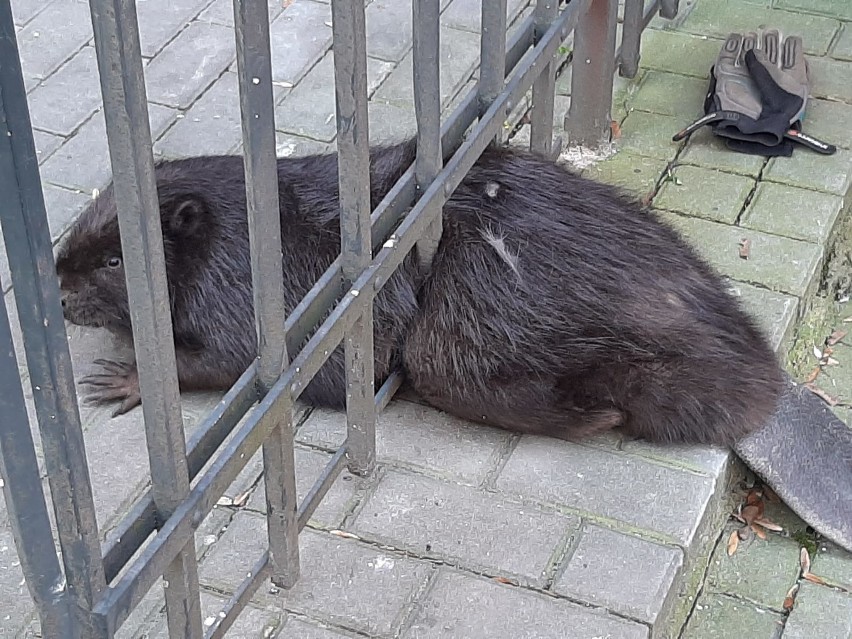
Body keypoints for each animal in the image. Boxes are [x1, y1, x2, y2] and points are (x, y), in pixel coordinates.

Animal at [55, 140, 784, 448]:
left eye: (115, 259)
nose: (59, 294)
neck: (240, 222)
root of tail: (763, 387)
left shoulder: (245, 291)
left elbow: (232, 366)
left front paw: (118, 380)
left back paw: (596, 415)